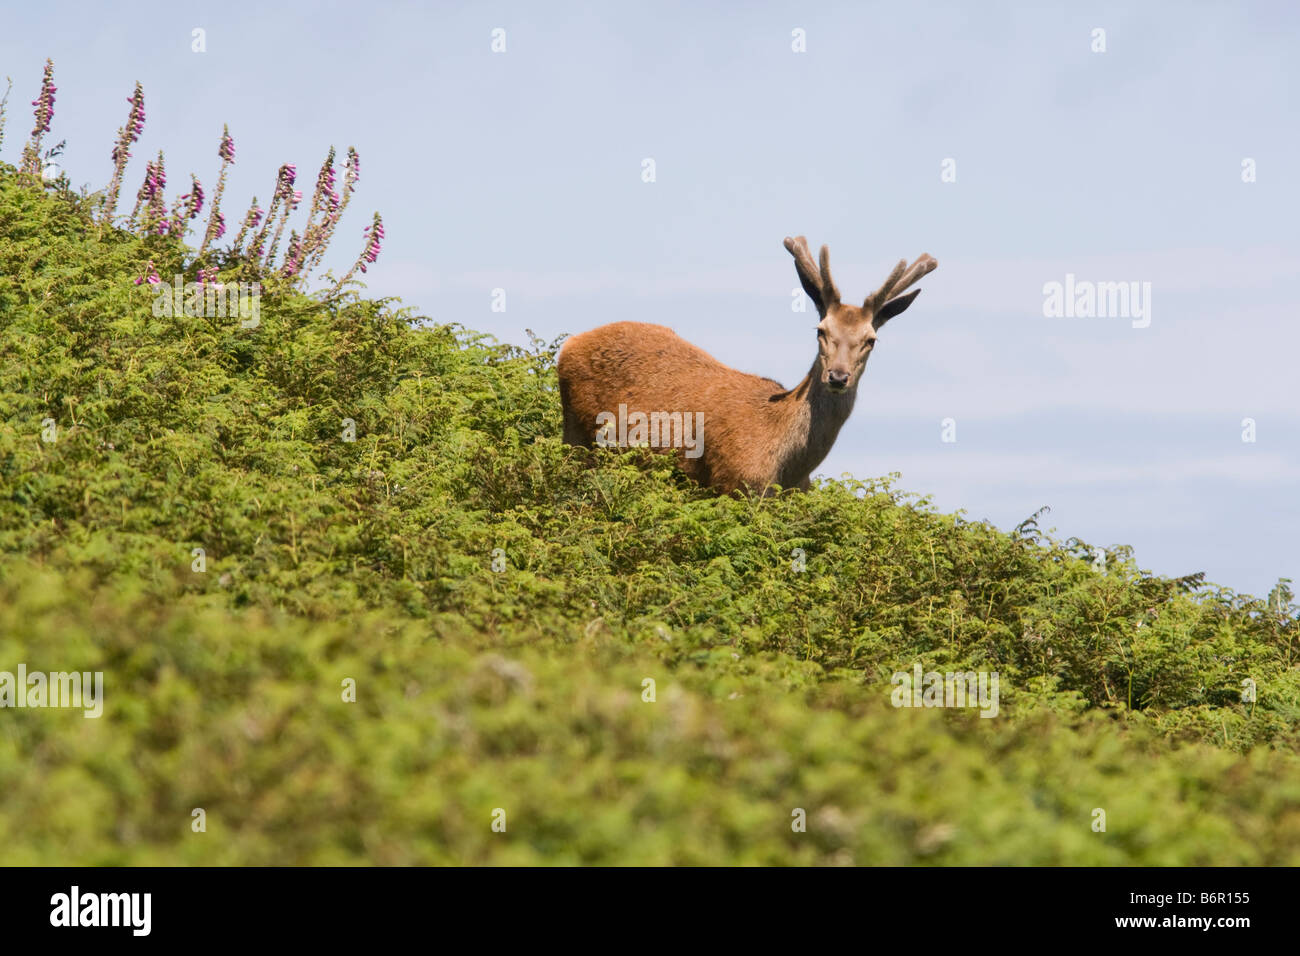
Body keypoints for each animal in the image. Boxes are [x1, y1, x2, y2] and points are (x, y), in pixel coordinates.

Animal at [556, 238, 935, 494]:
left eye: (871, 339)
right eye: (821, 330)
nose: (838, 376)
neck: (786, 466)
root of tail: (568, 346)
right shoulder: (732, 484)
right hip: (577, 437)